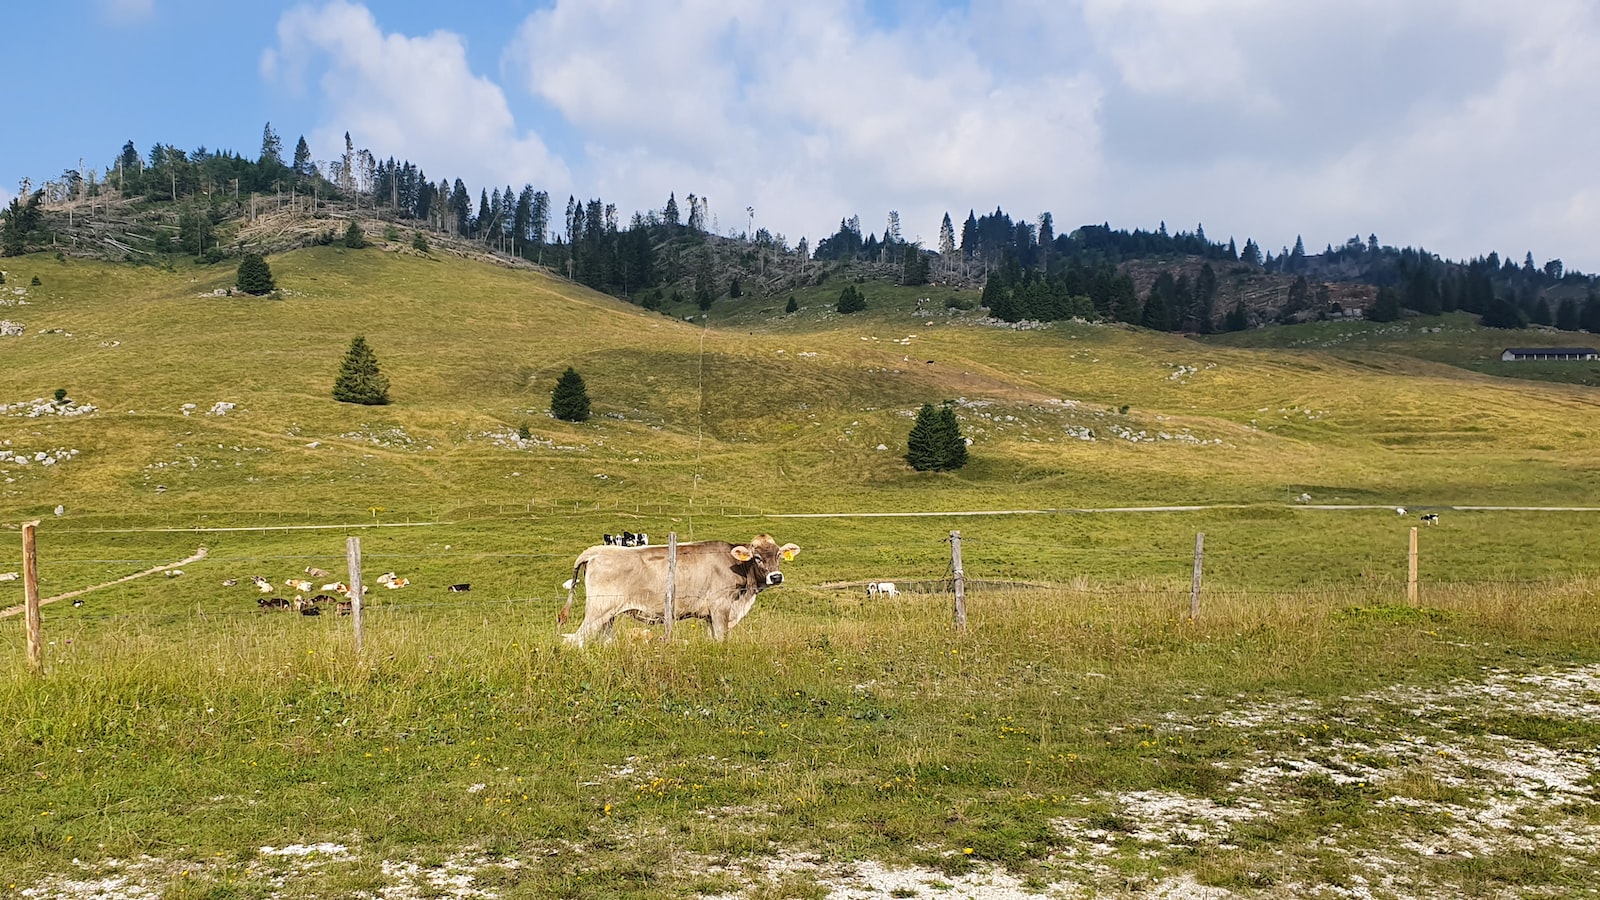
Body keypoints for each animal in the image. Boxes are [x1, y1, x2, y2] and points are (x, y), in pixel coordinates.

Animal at [560, 531, 800, 643]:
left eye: (778, 555)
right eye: (757, 557)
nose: (776, 577)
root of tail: (596, 551)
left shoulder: (709, 616)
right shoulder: (720, 607)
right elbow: (722, 639)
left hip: (608, 617)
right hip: (598, 610)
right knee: (576, 640)